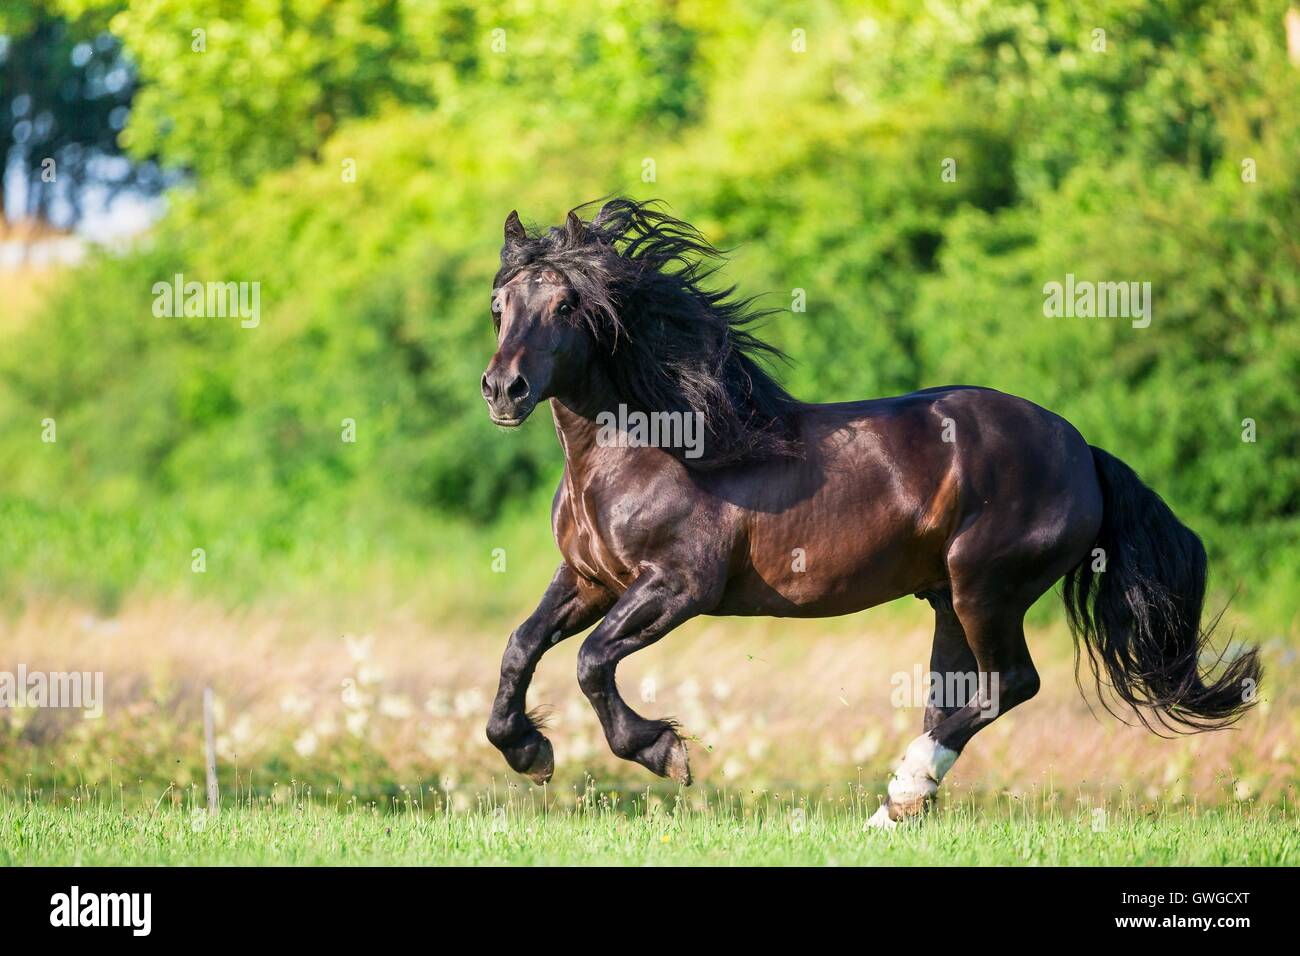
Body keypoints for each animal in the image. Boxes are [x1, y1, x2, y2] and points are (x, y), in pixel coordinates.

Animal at [478, 197, 1258, 827]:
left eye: (567, 306)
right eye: (499, 306)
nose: (504, 390)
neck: (647, 447)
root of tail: (1082, 450)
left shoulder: (679, 585)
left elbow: (590, 660)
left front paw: (661, 751)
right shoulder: (590, 580)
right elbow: (521, 644)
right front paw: (527, 750)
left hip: (987, 588)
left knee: (1010, 683)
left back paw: (905, 788)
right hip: (949, 600)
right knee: (957, 695)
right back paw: (897, 806)